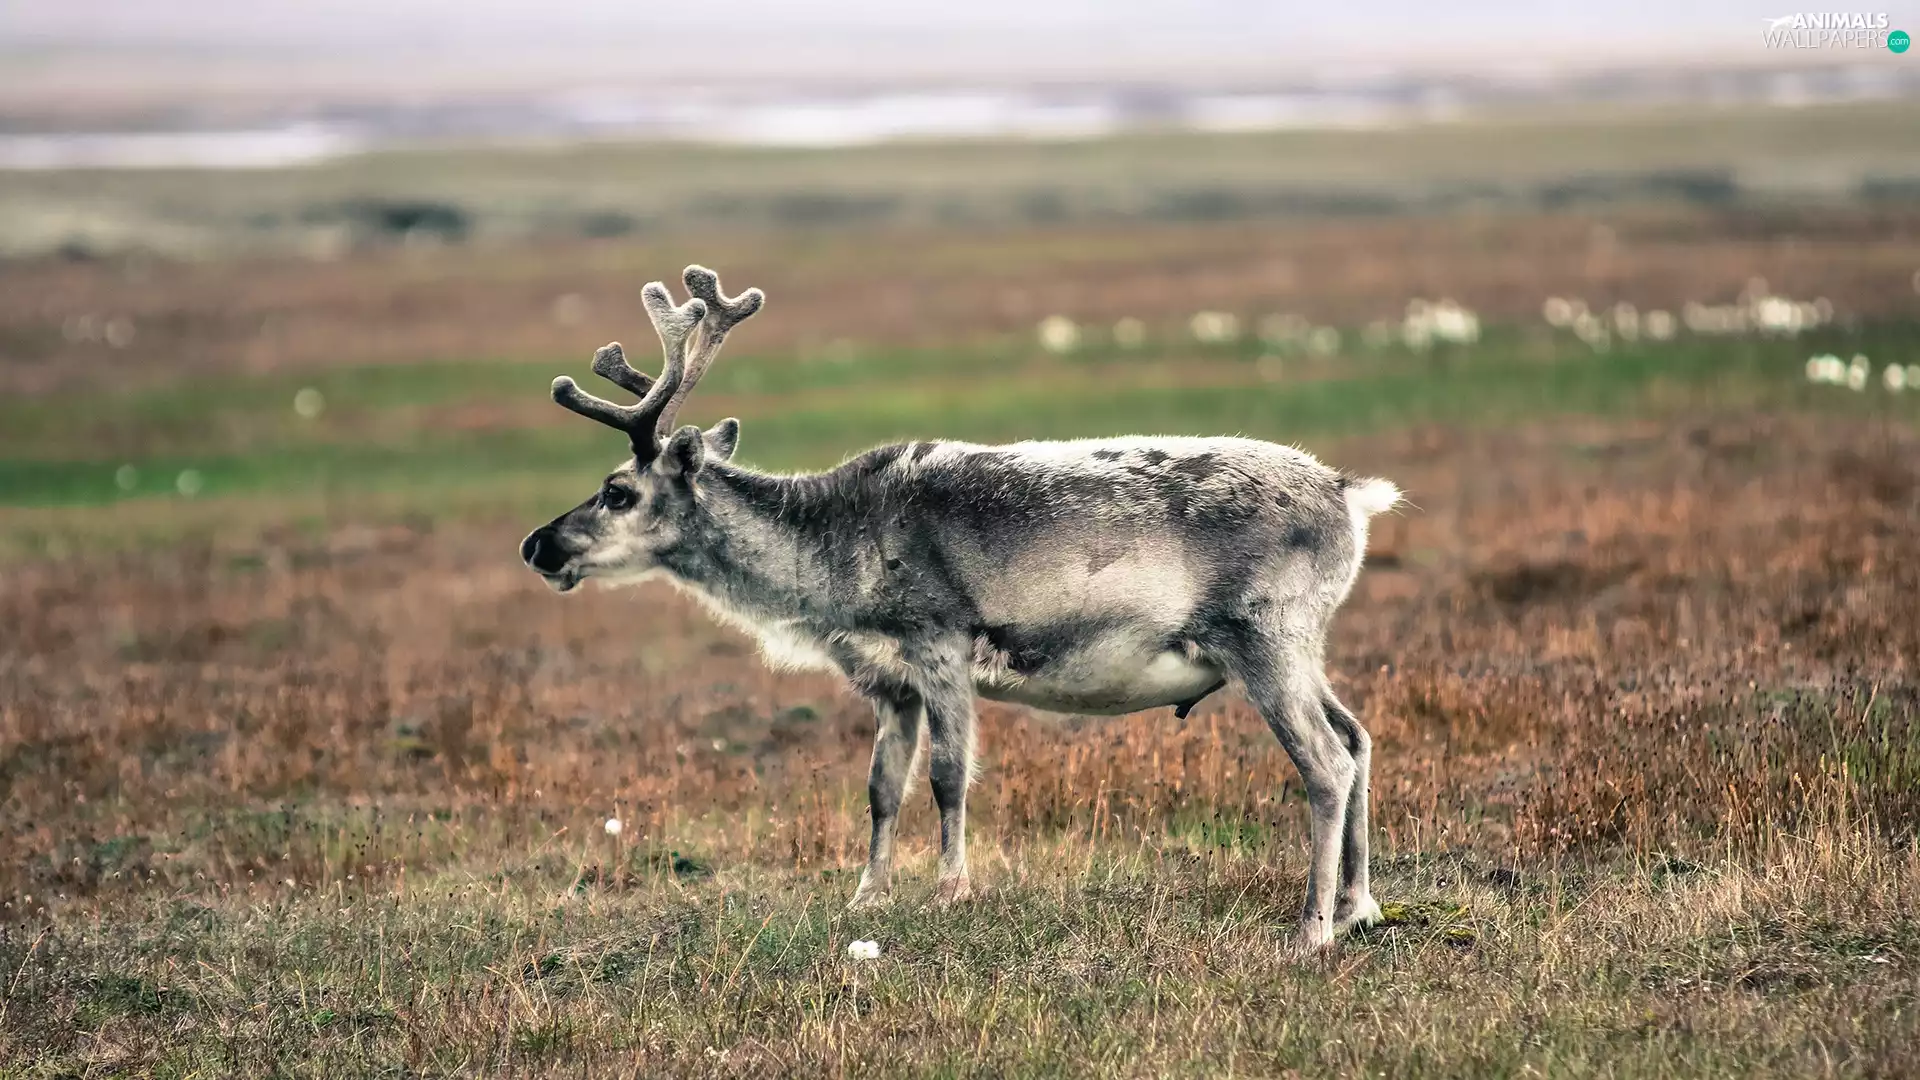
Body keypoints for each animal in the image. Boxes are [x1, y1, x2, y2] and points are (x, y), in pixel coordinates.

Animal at [520, 265, 1402, 952]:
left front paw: (951, 889)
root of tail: (1352, 495)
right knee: (1358, 737)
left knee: (1325, 762)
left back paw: (1312, 928)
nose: (537, 545)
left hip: (1265, 637)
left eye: (617, 491)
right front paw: (866, 896)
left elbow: (948, 776)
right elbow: (882, 788)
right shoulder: (888, 682)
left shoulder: (940, 643)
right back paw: (1360, 905)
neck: (831, 552)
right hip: (1298, 646)